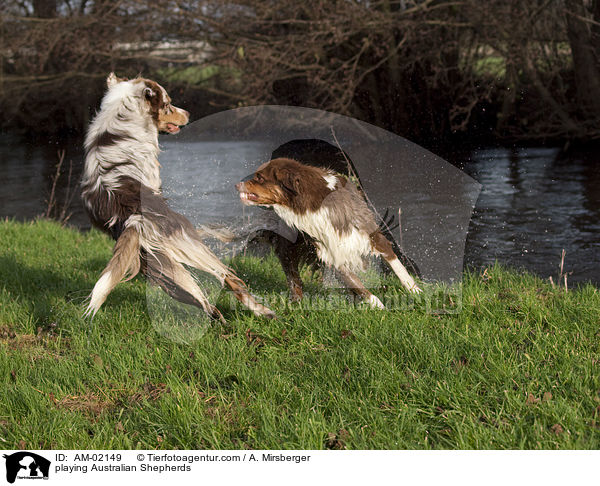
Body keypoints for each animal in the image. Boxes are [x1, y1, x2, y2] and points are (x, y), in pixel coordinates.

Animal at [82, 73, 274, 322]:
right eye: (168, 103)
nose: (189, 114)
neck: (122, 113)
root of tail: (133, 218)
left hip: (159, 267)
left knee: (201, 298)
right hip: (190, 246)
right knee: (227, 277)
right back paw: (263, 311)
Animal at [236, 158, 422, 308]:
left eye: (260, 177)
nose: (236, 185)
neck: (312, 204)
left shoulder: (371, 234)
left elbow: (397, 266)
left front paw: (415, 291)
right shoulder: (330, 251)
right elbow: (357, 284)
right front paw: (378, 305)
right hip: (288, 247)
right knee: (294, 278)